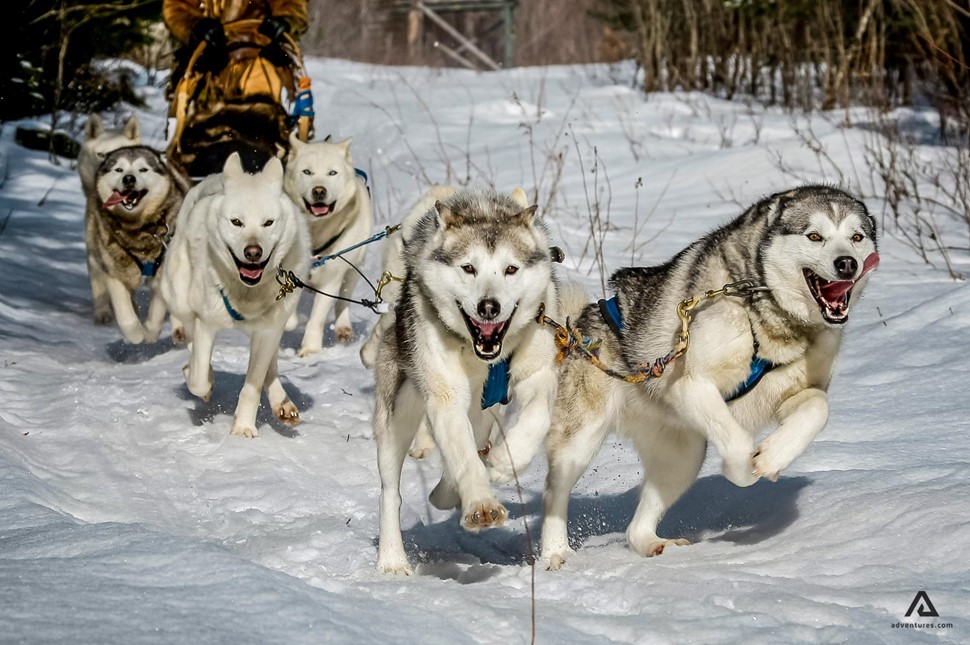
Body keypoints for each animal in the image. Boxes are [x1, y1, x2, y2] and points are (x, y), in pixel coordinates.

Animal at [85, 146, 189, 342]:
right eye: (119, 169)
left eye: (143, 169)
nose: (129, 179)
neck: (139, 230)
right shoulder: (114, 273)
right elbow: (126, 316)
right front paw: (136, 334)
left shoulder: (162, 274)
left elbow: (157, 313)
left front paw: (149, 333)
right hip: (94, 251)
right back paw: (103, 313)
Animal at [155, 154, 308, 438]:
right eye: (236, 222)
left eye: (268, 222)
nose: (253, 252)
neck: (246, 293)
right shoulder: (206, 324)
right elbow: (198, 378)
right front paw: (201, 381)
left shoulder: (267, 331)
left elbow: (253, 386)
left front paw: (243, 428)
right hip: (181, 300)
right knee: (190, 340)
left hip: (276, 325)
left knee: (270, 364)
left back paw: (282, 403)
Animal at [286, 135, 372, 354]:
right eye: (307, 172)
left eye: (332, 173)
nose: (319, 191)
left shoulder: (331, 279)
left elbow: (317, 318)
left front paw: (310, 350)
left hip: (353, 270)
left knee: (343, 302)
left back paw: (343, 328)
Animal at [378, 187, 560, 572]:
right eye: (469, 268)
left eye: (510, 269)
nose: (489, 307)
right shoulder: (445, 397)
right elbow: (463, 457)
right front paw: (480, 504)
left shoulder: (539, 375)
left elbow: (537, 417)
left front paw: (506, 462)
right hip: (397, 418)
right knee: (390, 493)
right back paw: (392, 560)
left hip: (483, 412)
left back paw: (448, 492)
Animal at [540, 184, 880, 568]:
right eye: (814, 236)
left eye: (856, 237)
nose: (847, 263)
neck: (771, 318)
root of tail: (576, 328)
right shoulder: (692, 386)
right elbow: (738, 444)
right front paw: (744, 470)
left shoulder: (797, 391)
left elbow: (818, 408)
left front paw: (773, 456)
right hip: (581, 440)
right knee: (555, 493)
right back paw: (555, 553)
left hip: (683, 457)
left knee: (635, 530)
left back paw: (653, 544)